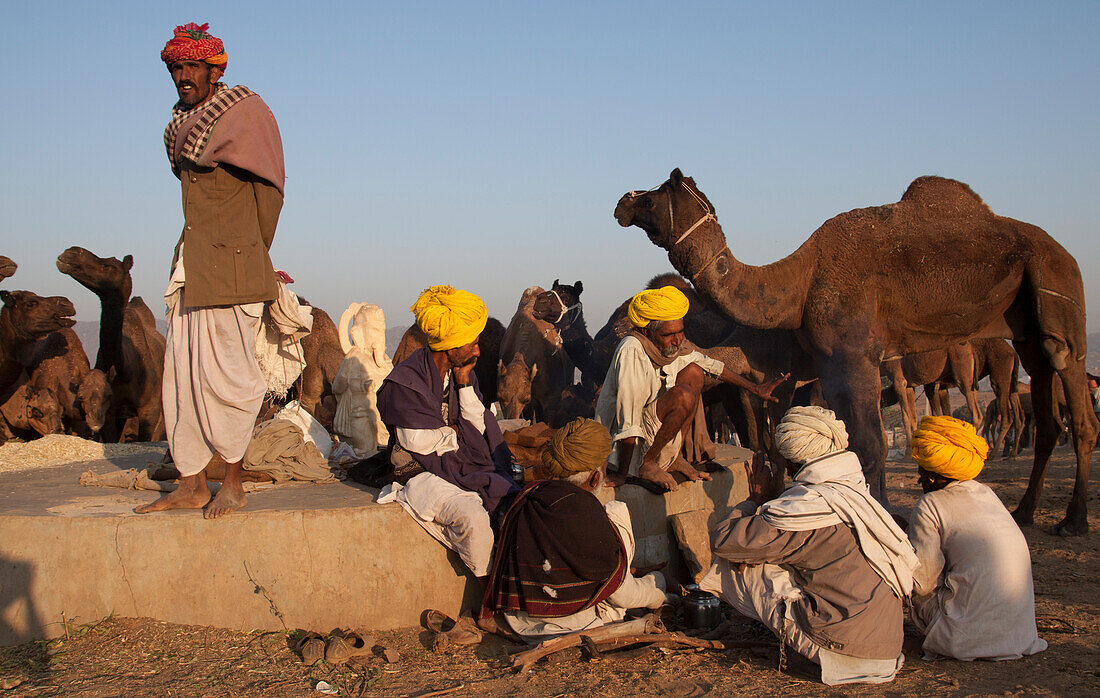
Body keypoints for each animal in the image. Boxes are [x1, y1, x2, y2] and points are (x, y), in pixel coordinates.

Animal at [620, 168, 1100, 534]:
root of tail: (1065, 251)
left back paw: (1073, 520)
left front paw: (879, 516)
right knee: (1046, 406)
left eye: (658, 190)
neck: (797, 282)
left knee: (1074, 394)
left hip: (1057, 286)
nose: (623, 200)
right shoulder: (828, 368)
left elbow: (869, 444)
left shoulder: (855, 355)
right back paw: (1025, 511)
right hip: (1023, 328)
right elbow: (844, 439)